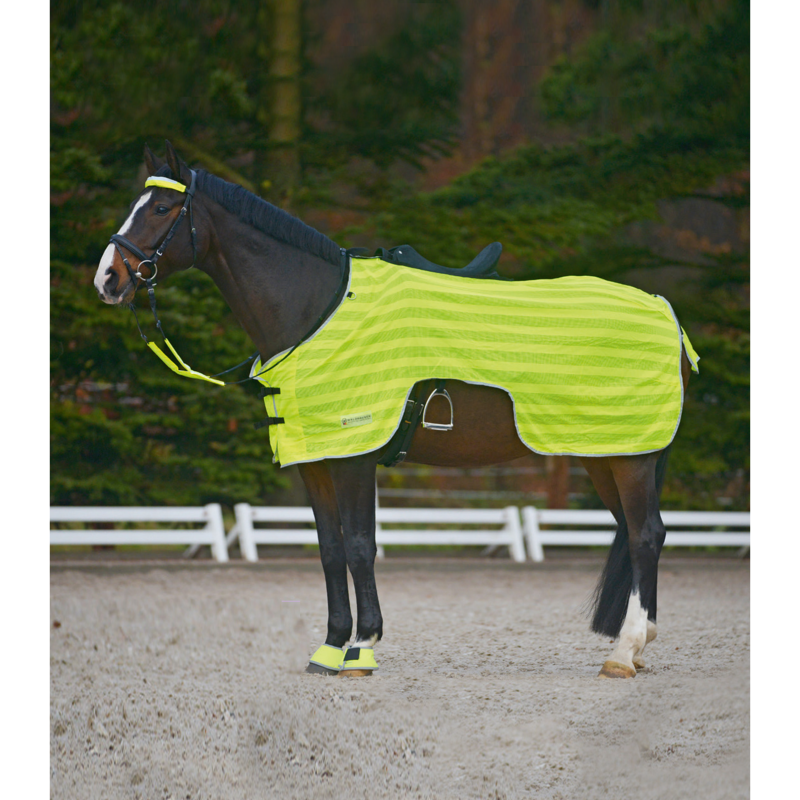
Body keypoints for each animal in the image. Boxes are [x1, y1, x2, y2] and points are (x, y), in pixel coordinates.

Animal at [94, 141, 696, 679]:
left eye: (162, 208)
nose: (108, 278)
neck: (318, 309)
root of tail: (664, 311)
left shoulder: (355, 455)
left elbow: (361, 547)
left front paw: (363, 648)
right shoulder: (315, 461)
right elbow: (330, 549)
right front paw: (330, 648)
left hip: (630, 457)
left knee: (645, 535)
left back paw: (624, 653)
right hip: (605, 452)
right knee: (638, 532)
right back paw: (639, 644)